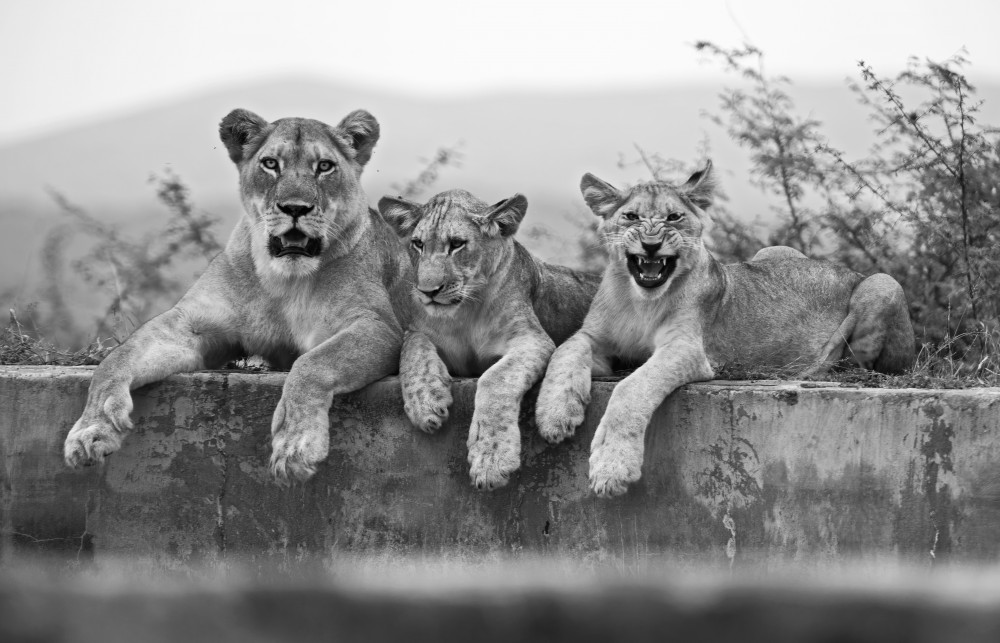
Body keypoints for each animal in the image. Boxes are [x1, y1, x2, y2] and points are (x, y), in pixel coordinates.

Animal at [63, 108, 413, 484]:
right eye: (271, 164)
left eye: (324, 166)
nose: (295, 208)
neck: (283, 280)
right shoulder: (191, 323)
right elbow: (116, 359)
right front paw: (91, 429)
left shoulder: (377, 325)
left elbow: (312, 363)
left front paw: (295, 444)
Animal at [377, 190, 600, 489]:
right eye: (418, 244)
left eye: (457, 244)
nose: (428, 291)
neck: (466, 311)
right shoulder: (421, 332)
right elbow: (411, 348)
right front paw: (425, 402)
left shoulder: (532, 338)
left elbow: (495, 378)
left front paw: (491, 460)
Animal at [535, 160, 914, 497]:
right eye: (631, 217)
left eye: (673, 217)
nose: (651, 246)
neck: (639, 300)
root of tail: (850, 270)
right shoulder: (593, 338)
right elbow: (564, 351)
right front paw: (554, 416)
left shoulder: (688, 349)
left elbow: (631, 388)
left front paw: (611, 469)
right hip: (775, 251)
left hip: (883, 283)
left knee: (860, 366)